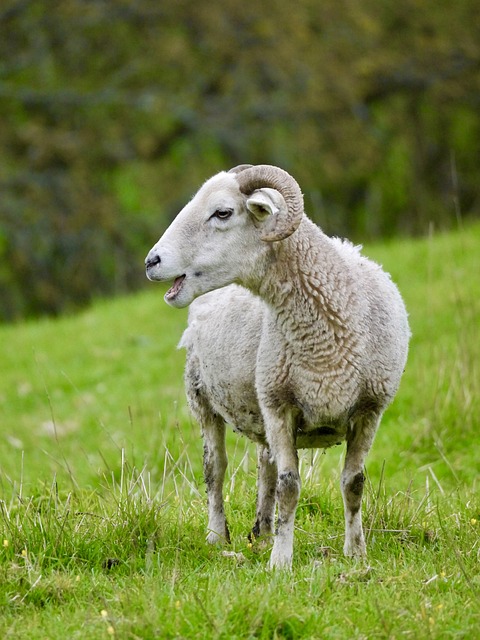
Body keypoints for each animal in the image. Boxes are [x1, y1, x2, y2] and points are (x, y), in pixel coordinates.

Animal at [145, 165, 408, 568]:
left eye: (222, 212)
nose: (151, 261)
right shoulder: (279, 405)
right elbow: (290, 486)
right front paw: (282, 561)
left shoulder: (369, 409)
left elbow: (353, 483)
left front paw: (356, 552)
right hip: (202, 396)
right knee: (215, 468)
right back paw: (218, 535)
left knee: (264, 464)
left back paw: (264, 531)